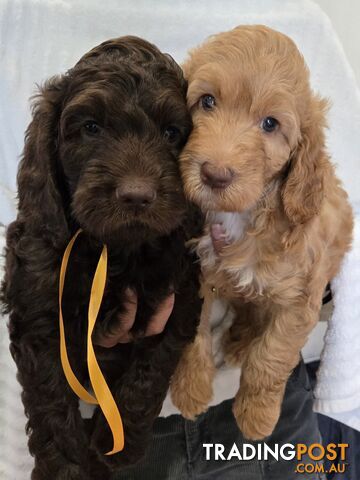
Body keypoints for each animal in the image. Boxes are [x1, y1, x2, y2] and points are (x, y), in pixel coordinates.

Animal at [170, 25, 352, 438]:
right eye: (207, 101)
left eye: (270, 124)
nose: (214, 175)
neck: (244, 215)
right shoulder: (199, 273)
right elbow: (194, 334)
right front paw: (190, 388)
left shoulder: (300, 299)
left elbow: (270, 358)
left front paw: (256, 414)